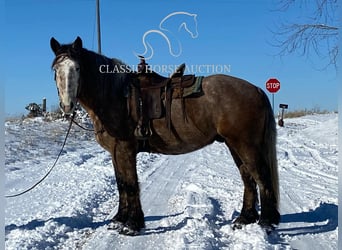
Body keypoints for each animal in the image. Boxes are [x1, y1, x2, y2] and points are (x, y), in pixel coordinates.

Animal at [50, 36, 280, 235]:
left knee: (262, 178)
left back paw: (266, 223)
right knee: (248, 179)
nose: (67, 106)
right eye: (55, 70)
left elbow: (131, 184)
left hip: (246, 145)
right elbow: (121, 183)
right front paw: (118, 219)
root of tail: (256, 90)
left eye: (77, 68)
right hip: (234, 145)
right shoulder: (115, 153)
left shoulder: (125, 150)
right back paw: (245, 219)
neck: (117, 96)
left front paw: (132, 225)